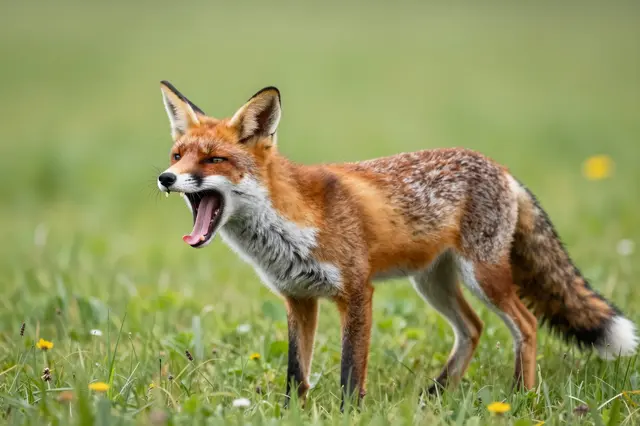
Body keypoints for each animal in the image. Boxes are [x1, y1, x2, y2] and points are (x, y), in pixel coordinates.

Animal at [156, 80, 638, 407]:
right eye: (178, 155)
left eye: (214, 160)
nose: (165, 178)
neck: (289, 225)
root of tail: (500, 167)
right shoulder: (298, 298)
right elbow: (297, 373)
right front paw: (293, 412)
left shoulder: (356, 291)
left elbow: (351, 372)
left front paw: (349, 414)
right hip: (433, 284)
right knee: (473, 328)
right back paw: (438, 395)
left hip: (484, 277)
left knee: (526, 324)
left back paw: (520, 397)